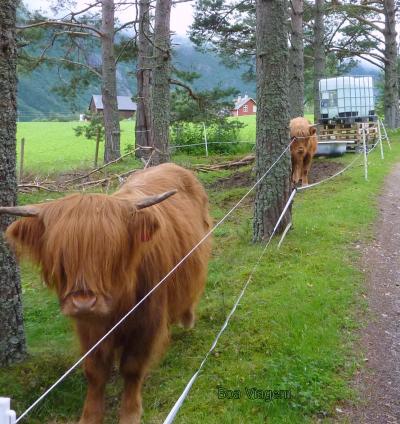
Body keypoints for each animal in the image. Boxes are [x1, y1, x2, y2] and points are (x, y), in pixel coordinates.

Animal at [1, 163, 212, 424]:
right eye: (61, 257)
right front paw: (90, 416)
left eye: (110, 254)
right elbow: (95, 371)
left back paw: (187, 319)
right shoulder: (89, 328)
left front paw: (130, 413)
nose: (83, 303)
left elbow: (132, 368)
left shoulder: (147, 322)